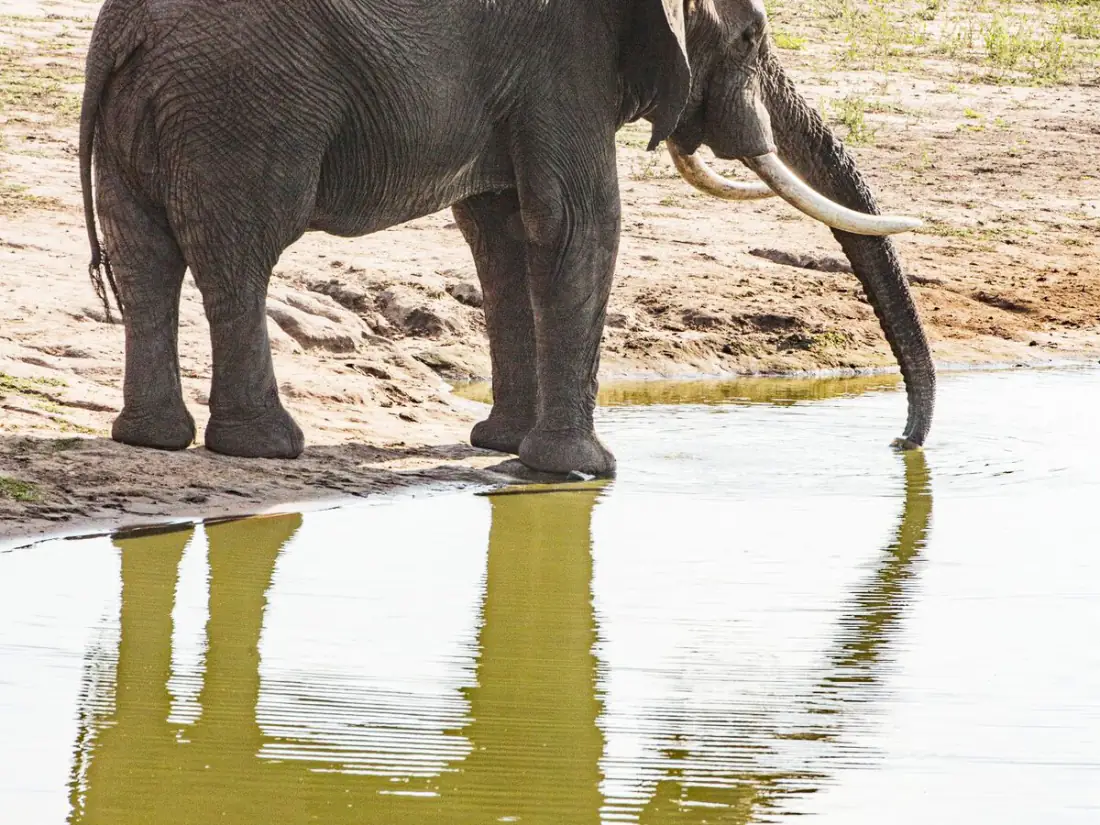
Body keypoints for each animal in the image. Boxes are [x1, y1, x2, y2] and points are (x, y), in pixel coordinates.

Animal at [79, 0, 935, 476]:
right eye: (753, 37)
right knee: (239, 254)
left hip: (160, 114)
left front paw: (501, 445)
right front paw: (582, 471)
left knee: (146, 257)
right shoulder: (564, 61)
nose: (902, 445)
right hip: (244, 107)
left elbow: (502, 231)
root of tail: (123, 31)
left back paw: (155, 439)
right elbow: (580, 221)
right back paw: (265, 448)